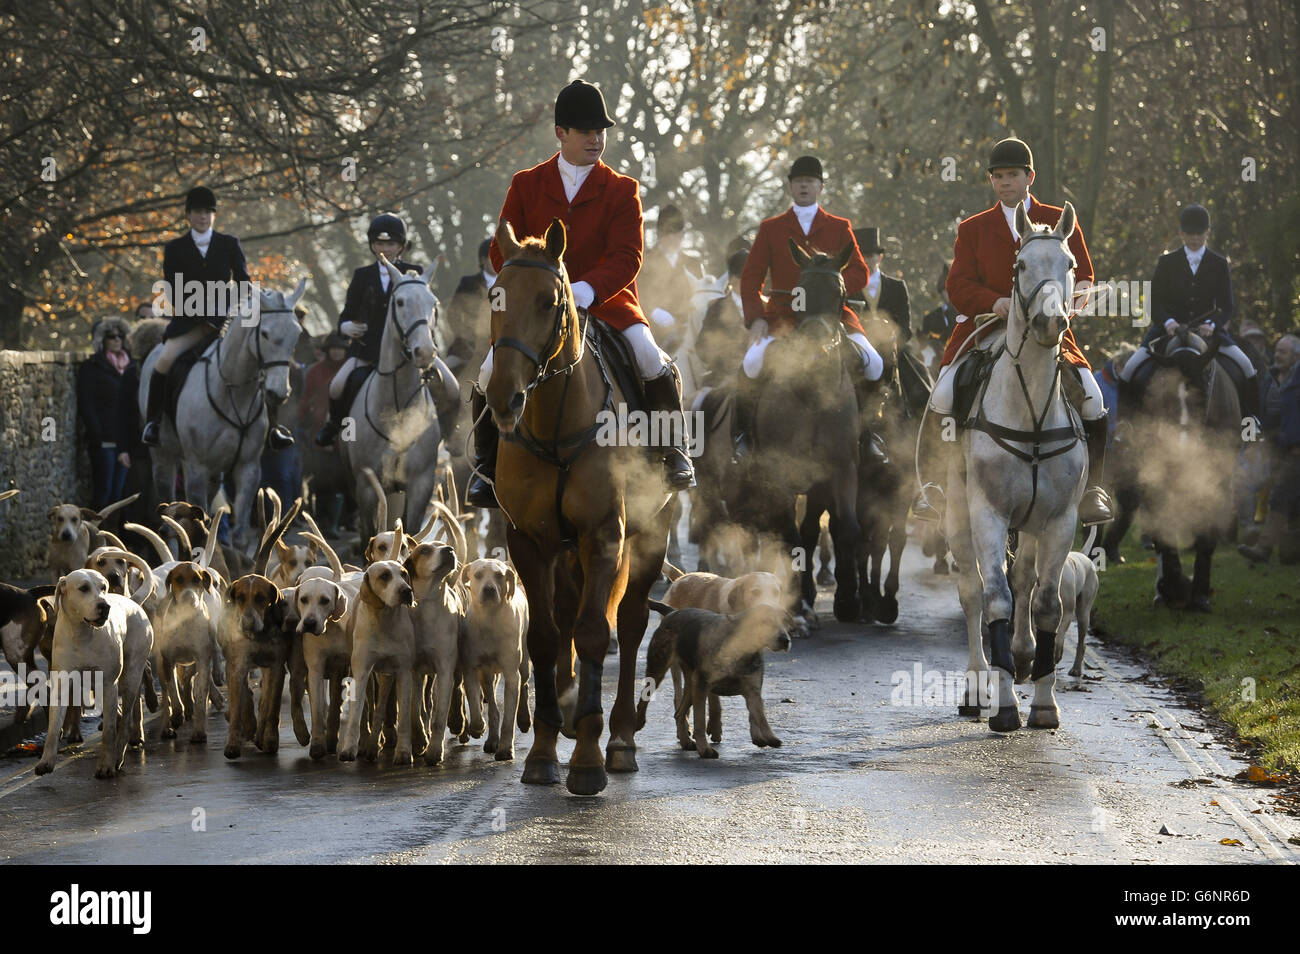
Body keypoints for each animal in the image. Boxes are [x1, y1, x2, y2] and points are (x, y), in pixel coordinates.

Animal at [35, 556, 156, 779]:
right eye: (83, 588)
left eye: (103, 587)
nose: (104, 606)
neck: (83, 635)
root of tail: (133, 602)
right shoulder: (61, 685)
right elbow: (53, 727)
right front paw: (46, 761)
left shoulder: (109, 684)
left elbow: (108, 730)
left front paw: (106, 765)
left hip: (130, 676)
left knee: (126, 719)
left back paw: (119, 755)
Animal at [139, 276, 306, 553]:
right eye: (265, 334)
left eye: (297, 333)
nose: (278, 392)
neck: (234, 393)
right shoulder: (197, 466)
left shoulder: (248, 468)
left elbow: (238, 533)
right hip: (163, 458)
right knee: (167, 505)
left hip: (214, 472)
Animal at [338, 257, 439, 548]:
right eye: (400, 302)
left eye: (433, 302)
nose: (425, 352)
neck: (398, 407)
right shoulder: (367, 486)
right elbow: (372, 534)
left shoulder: (421, 485)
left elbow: (411, 532)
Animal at [486, 220, 670, 795]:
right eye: (495, 296)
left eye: (550, 301)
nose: (503, 399)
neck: (554, 421)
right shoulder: (529, 540)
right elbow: (546, 638)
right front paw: (543, 750)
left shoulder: (604, 534)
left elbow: (594, 631)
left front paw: (588, 758)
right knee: (568, 612)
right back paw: (568, 707)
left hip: (650, 536)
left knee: (630, 622)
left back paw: (620, 737)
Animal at [946, 205, 1086, 738]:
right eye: (1020, 266)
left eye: (1069, 264)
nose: (1050, 322)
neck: (1031, 414)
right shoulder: (987, 513)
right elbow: (997, 600)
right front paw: (1004, 704)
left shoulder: (1061, 518)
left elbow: (1046, 603)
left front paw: (1044, 702)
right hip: (956, 515)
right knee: (972, 594)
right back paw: (976, 685)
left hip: (1031, 523)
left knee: (1025, 578)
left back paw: (1025, 656)